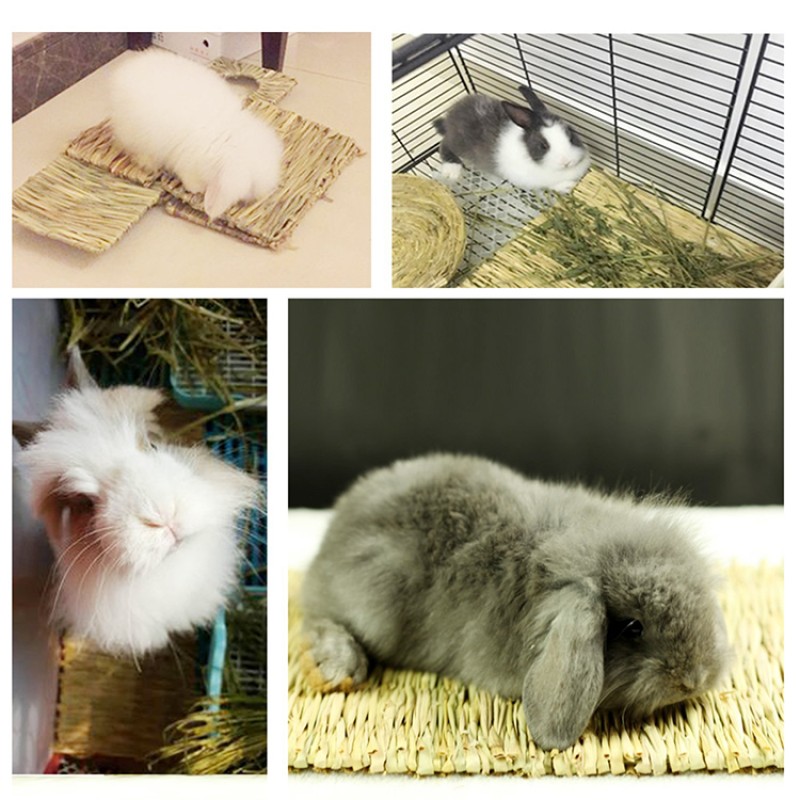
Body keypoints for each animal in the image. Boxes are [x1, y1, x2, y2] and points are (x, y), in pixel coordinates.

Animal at [108, 48, 283, 220]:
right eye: (251, 187)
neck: (227, 139)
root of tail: (121, 74)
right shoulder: (189, 164)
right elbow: (190, 179)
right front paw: (196, 189)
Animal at [433, 85, 590, 193]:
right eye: (543, 145)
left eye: (570, 133)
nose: (567, 162)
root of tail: (449, 118)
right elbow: (549, 184)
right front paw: (567, 186)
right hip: (458, 143)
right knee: (443, 144)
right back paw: (452, 171)